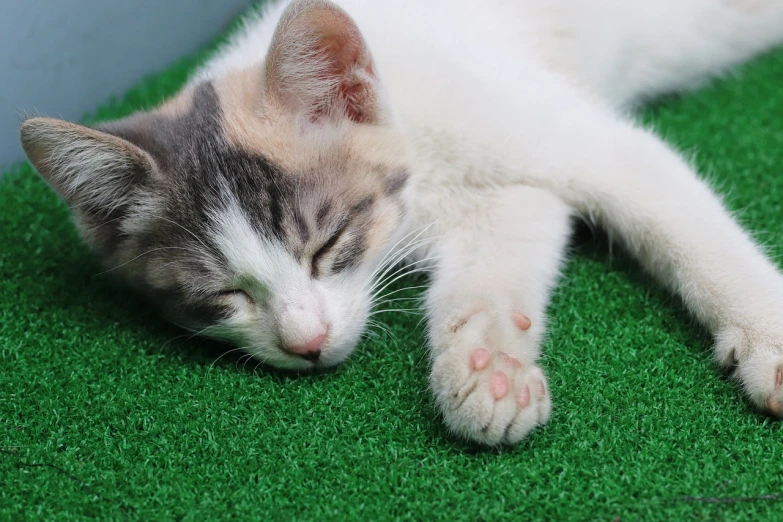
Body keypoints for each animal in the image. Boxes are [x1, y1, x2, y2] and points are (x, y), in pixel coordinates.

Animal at [16, 1, 783, 442]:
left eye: (326, 245)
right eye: (223, 295)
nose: (305, 343)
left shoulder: (578, 139)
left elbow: (685, 227)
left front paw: (770, 342)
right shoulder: (513, 197)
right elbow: (502, 257)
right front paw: (489, 369)